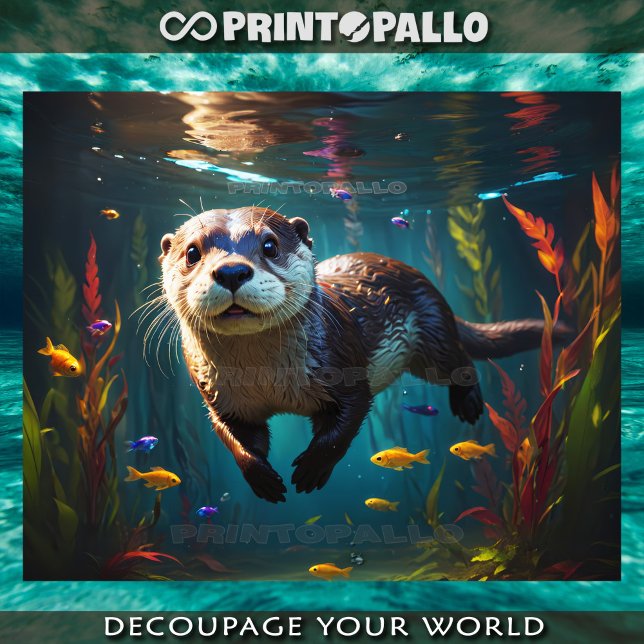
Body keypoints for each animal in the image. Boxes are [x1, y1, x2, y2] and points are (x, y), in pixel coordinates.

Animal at [158, 207, 567, 503]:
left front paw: (312, 470)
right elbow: (237, 438)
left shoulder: (345, 369)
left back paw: (468, 404)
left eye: (269, 246)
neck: (267, 377)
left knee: (460, 361)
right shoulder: (221, 398)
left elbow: (345, 422)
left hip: (432, 337)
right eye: (192, 252)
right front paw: (263, 479)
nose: (231, 271)